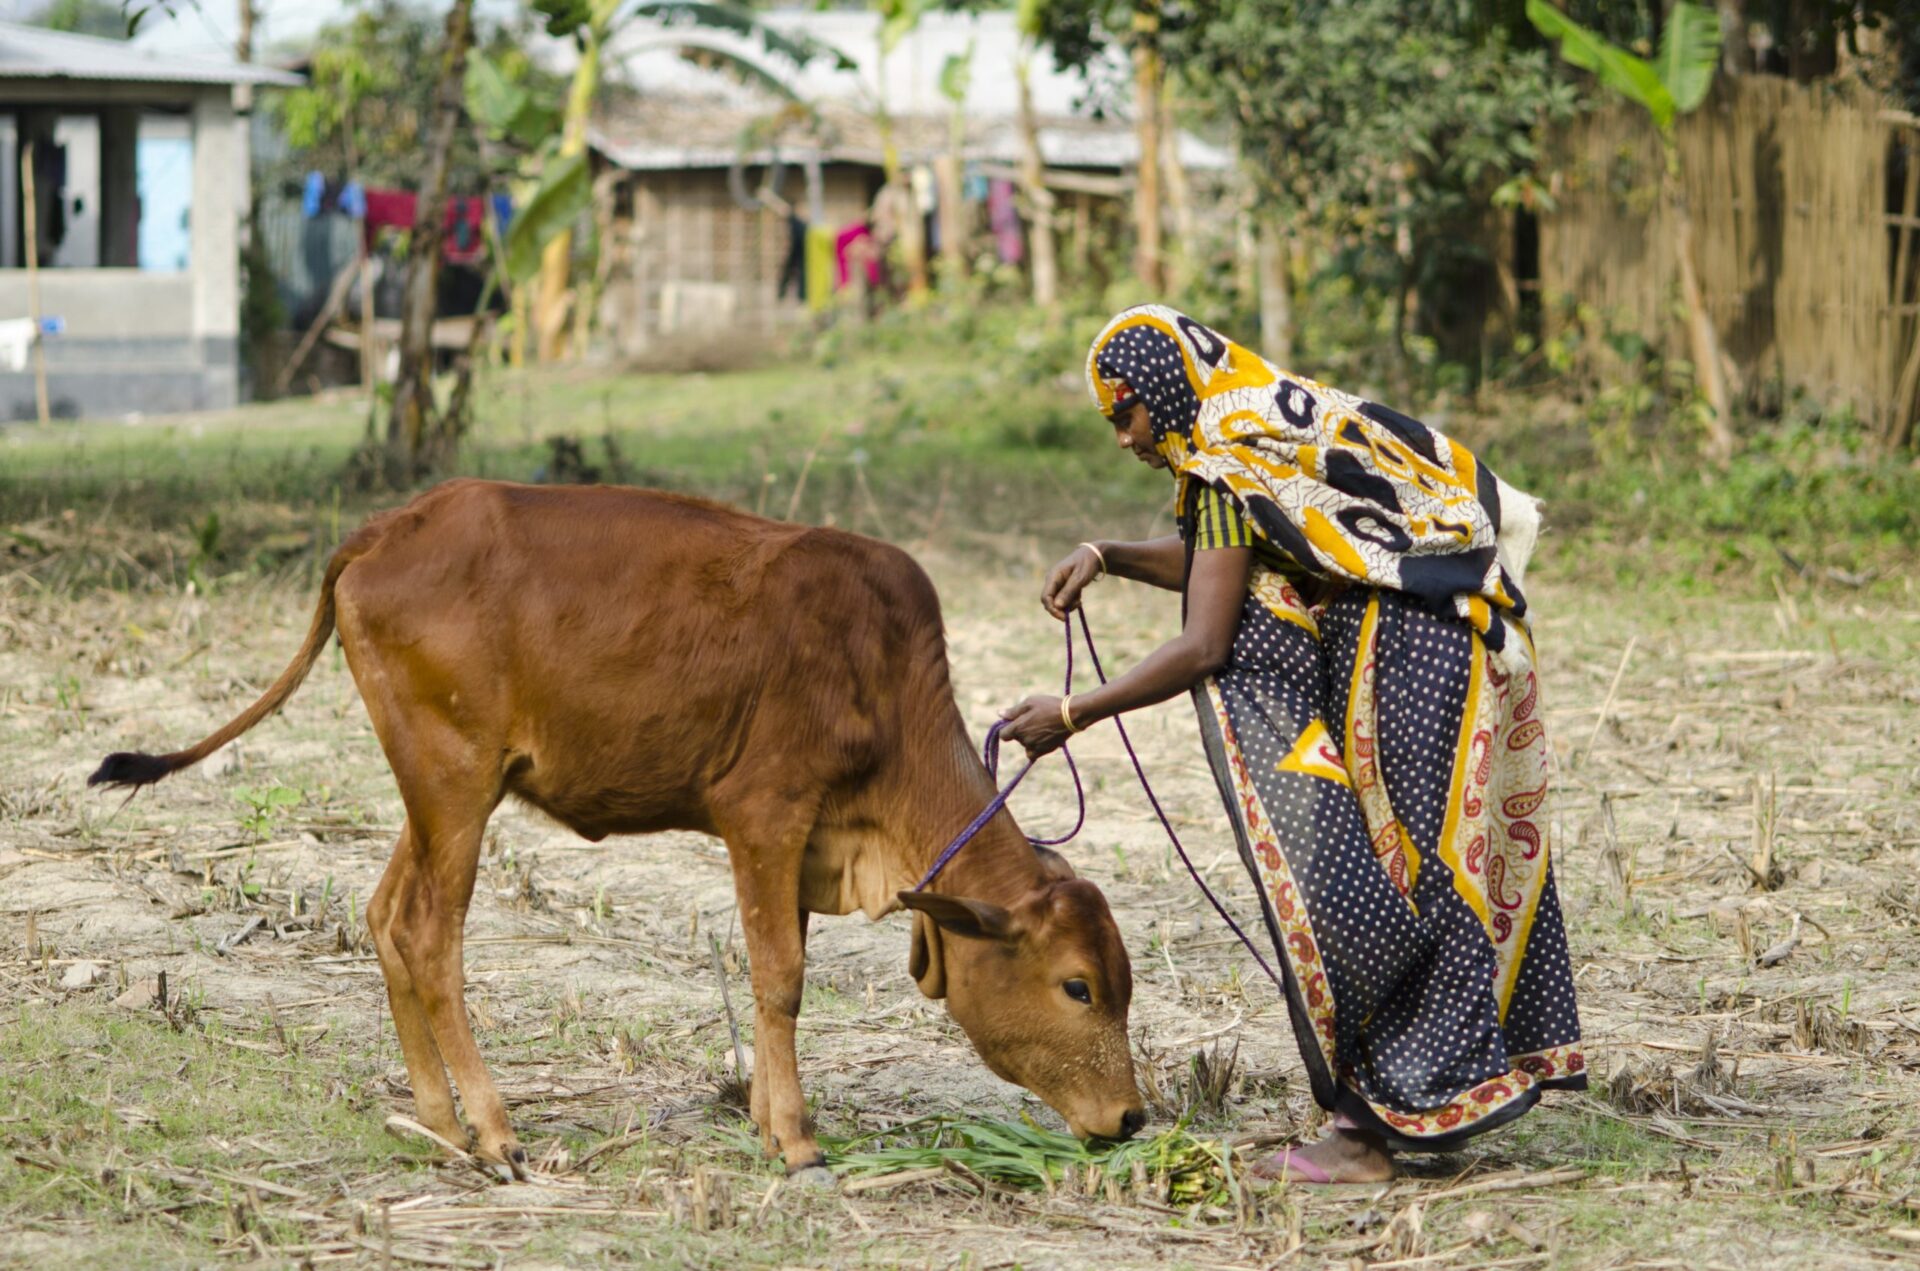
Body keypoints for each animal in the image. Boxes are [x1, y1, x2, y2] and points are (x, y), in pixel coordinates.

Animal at [93, 483, 1136, 1182]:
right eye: (1077, 986)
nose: (1130, 1118)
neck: (880, 681)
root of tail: (390, 528)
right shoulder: (764, 814)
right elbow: (782, 978)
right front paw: (797, 1143)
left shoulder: (798, 845)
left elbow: (776, 979)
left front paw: (768, 1121)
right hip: (454, 785)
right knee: (429, 935)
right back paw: (495, 1129)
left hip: (438, 795)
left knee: (387, 916)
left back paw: (438, 1123)